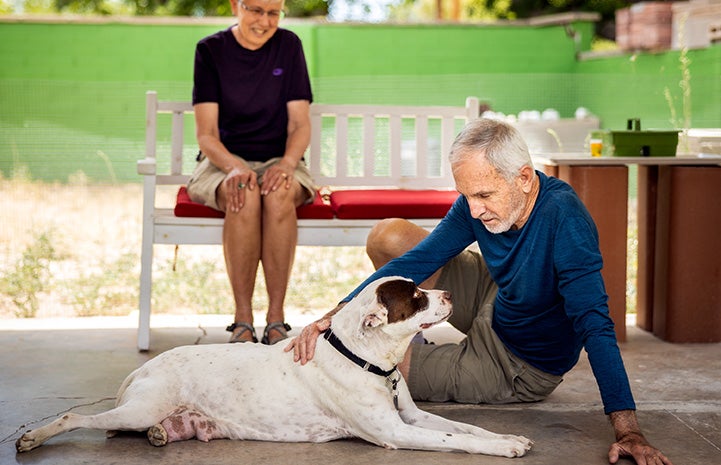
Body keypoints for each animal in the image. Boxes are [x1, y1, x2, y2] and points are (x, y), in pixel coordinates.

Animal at [16, 276, 532, 456]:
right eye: (417, 297)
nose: (447, 294)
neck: (366, 359)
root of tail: (143, 368)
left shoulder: (413, 415)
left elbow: (467, 428)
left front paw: (507, 436)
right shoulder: (396, 432)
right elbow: (456, 440)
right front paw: (505, 448)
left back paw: (164, 434)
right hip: (138, 407)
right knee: (75, 416)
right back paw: (33, 437)